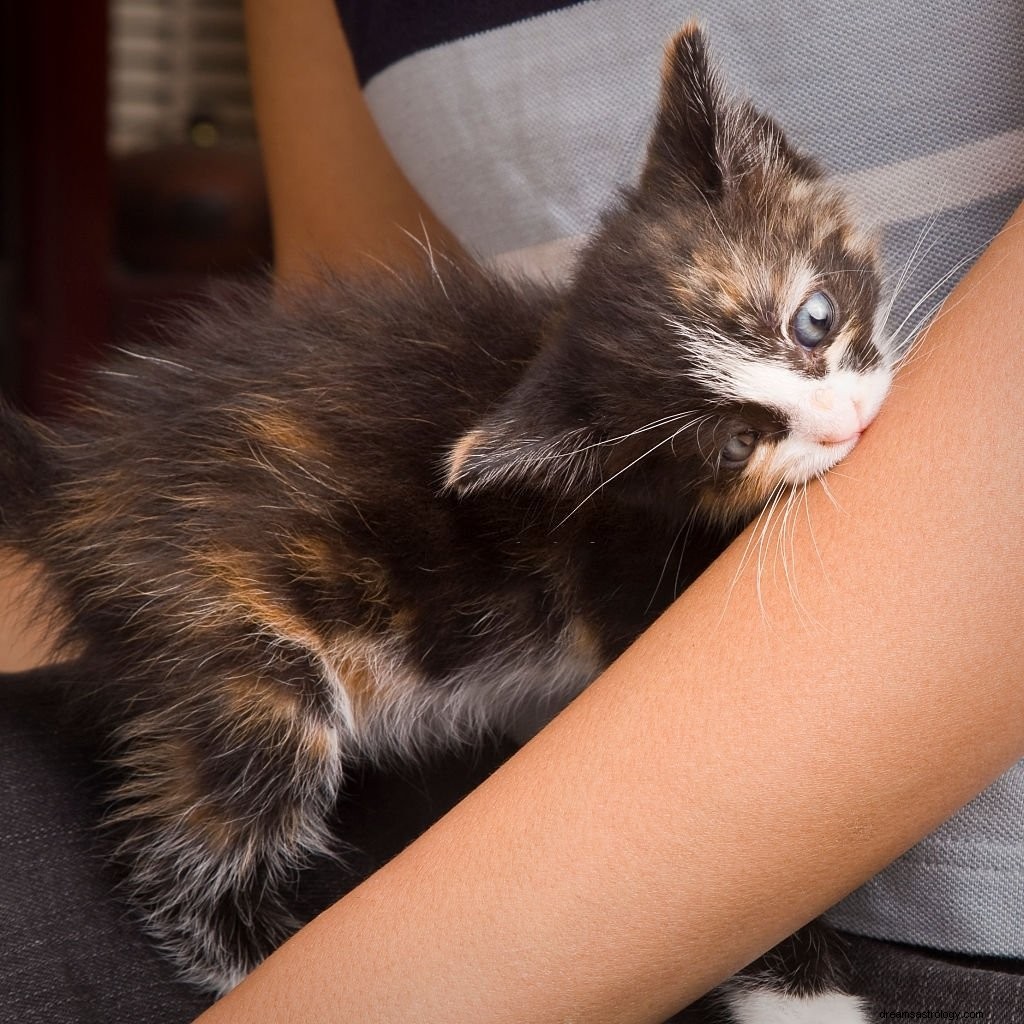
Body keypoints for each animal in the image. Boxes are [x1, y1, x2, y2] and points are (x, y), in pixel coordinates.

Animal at [0, 25, 892, 1024]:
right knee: (197, 842)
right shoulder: (634, 595)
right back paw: (257, 955)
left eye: (814, 317)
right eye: (735, 445)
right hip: (232, 646)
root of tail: (76, 481)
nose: (847, 423)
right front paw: (809, 998)